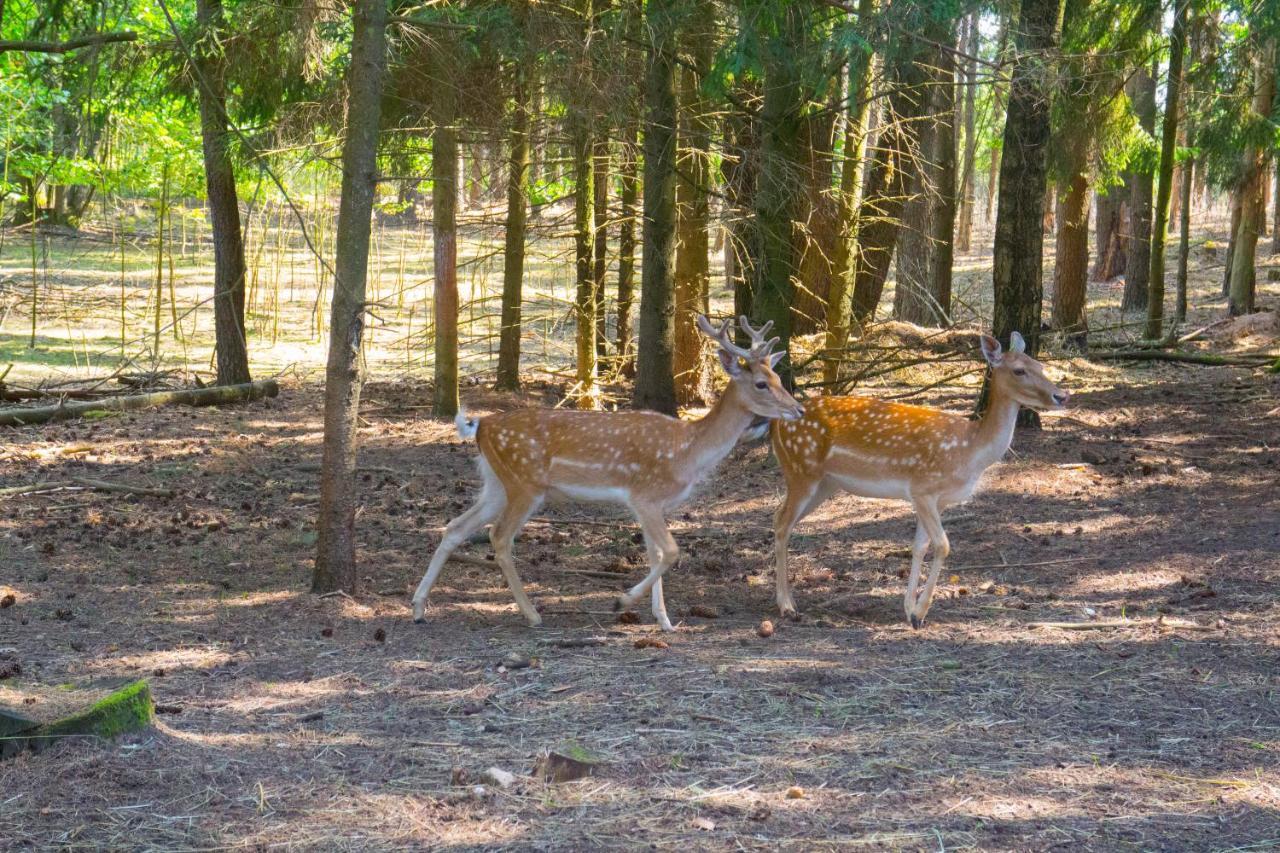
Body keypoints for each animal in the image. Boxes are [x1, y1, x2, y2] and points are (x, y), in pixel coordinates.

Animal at [414, 315, 803, 627]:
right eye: (761, 384)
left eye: (777, 375)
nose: (798, 409)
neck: (687, 451)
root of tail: (480, 426)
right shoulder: (644, 495)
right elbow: (672, 552)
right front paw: (623, 601)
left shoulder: (652, 505)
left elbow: (655, 554)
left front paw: (664, 621)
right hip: (524, 482)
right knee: (499, 537)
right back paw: (532, 613)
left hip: (496, 482)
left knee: (455, 526)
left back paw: (418, 608)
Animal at [768, 330, 1070, 625]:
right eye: (1019, 370)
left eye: (1040, 365)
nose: (1062, 396)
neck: (969, 451)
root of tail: (776, 424)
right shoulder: (923, 488)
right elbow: (942, 545)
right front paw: (920, 613)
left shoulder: (938, 500)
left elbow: (919, 547)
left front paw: (909, 609)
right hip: (801, 469)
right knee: (782, 523)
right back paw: (786, 605)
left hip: (825, 483)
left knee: (782, 520)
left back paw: (790, 599)